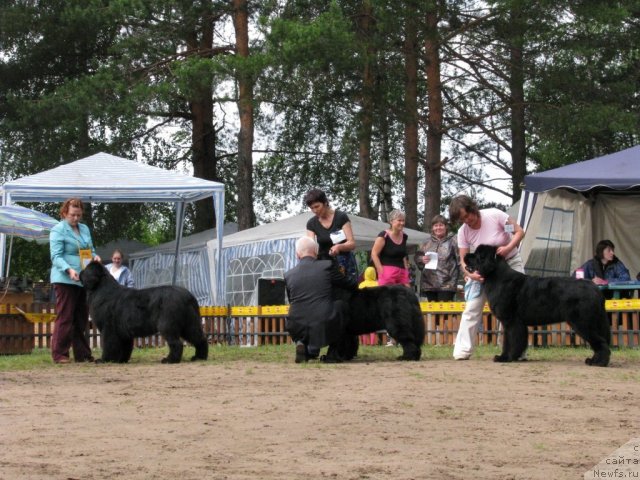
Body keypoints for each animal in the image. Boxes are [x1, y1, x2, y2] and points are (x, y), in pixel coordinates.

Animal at [77, 262, 208, 364]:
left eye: (86, 270)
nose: (79, 272)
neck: (101, 289)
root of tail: (188, 296)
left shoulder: (108, 329)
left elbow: (109, 345)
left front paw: (104, 360)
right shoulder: (123, 332)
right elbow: (125, 347)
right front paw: (121, 360)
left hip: (167, 325)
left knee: (177, 343)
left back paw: (170, 360)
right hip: (190, 324)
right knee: (200, 338)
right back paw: (199, 357)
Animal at [464, 246, 608, 366]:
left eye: (477, 255)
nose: (465, 255)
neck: (497, 276)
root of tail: (595, 288)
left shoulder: (511, 321)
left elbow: (511, 341)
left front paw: (506, 358)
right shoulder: (512, 323)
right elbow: (511, 341)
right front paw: (509, 356)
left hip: (582, 322)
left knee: (601, 342)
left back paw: (599, 362)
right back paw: (594, 360)